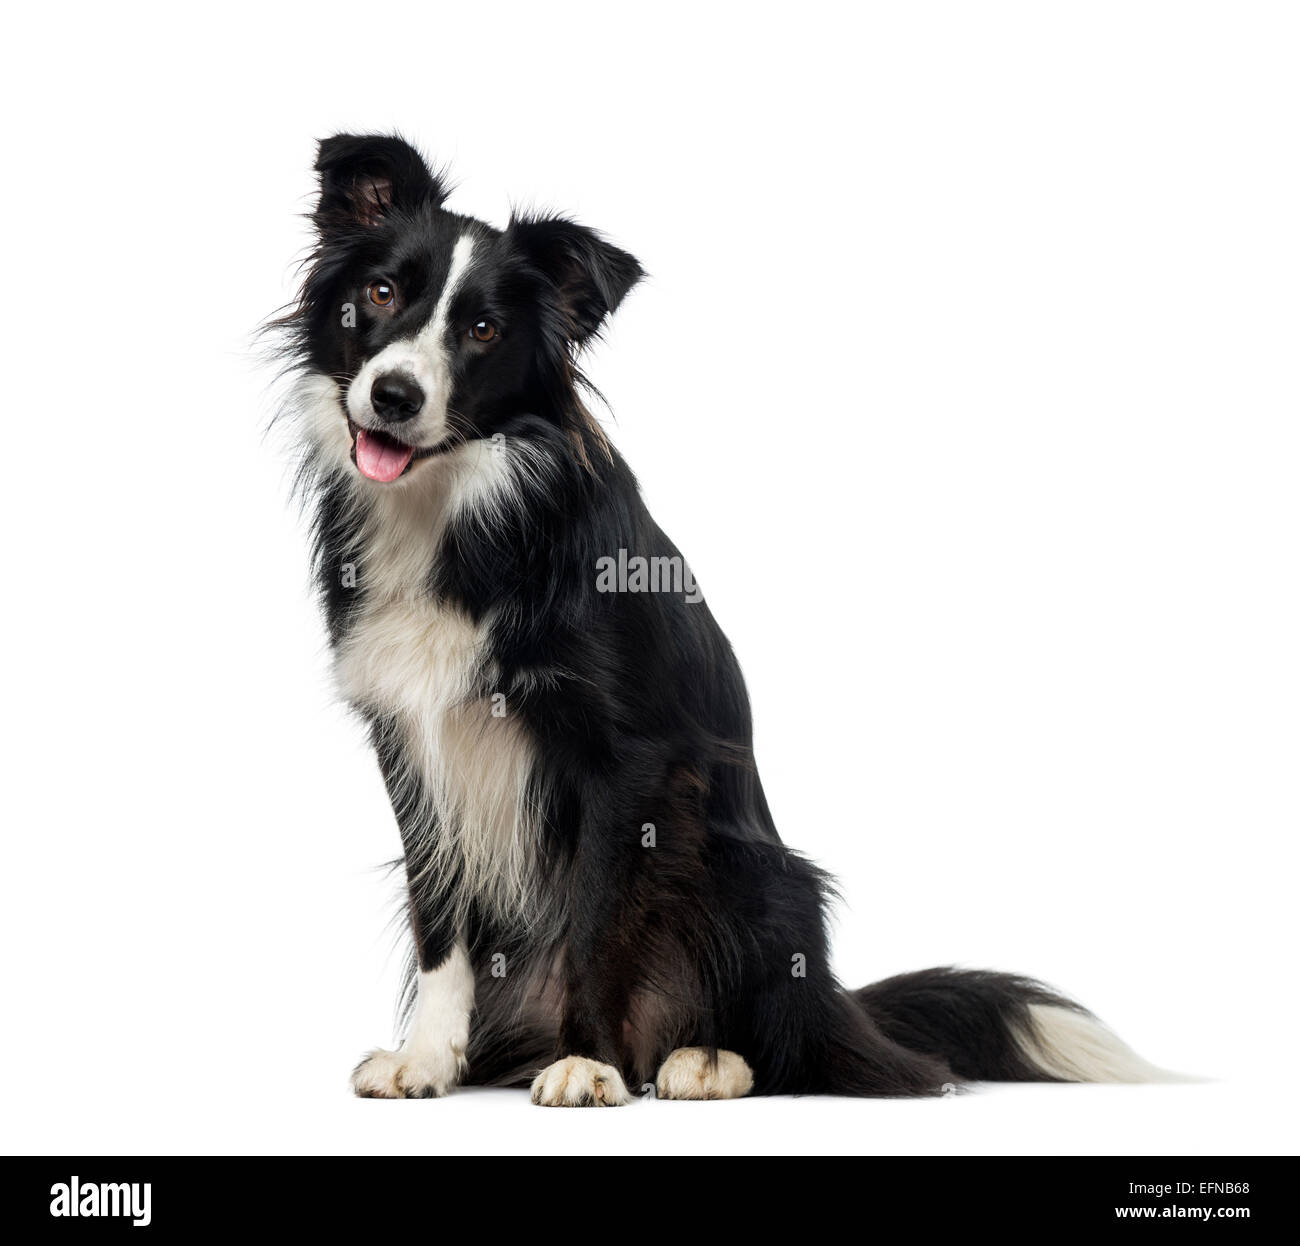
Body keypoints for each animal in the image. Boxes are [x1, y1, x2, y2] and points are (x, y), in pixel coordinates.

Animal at [269, 136, 1175, 1108]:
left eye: (484, 331)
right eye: (381, 294)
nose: (394, 396)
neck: (454, 510)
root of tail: (840, 1005)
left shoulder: (626, 761)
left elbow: (595, 924)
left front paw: (589, 1062)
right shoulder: (411, 741)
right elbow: (440, 919)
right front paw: (429, 1059)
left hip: (762, 878)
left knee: (794, 1043)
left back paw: (701, 1058)